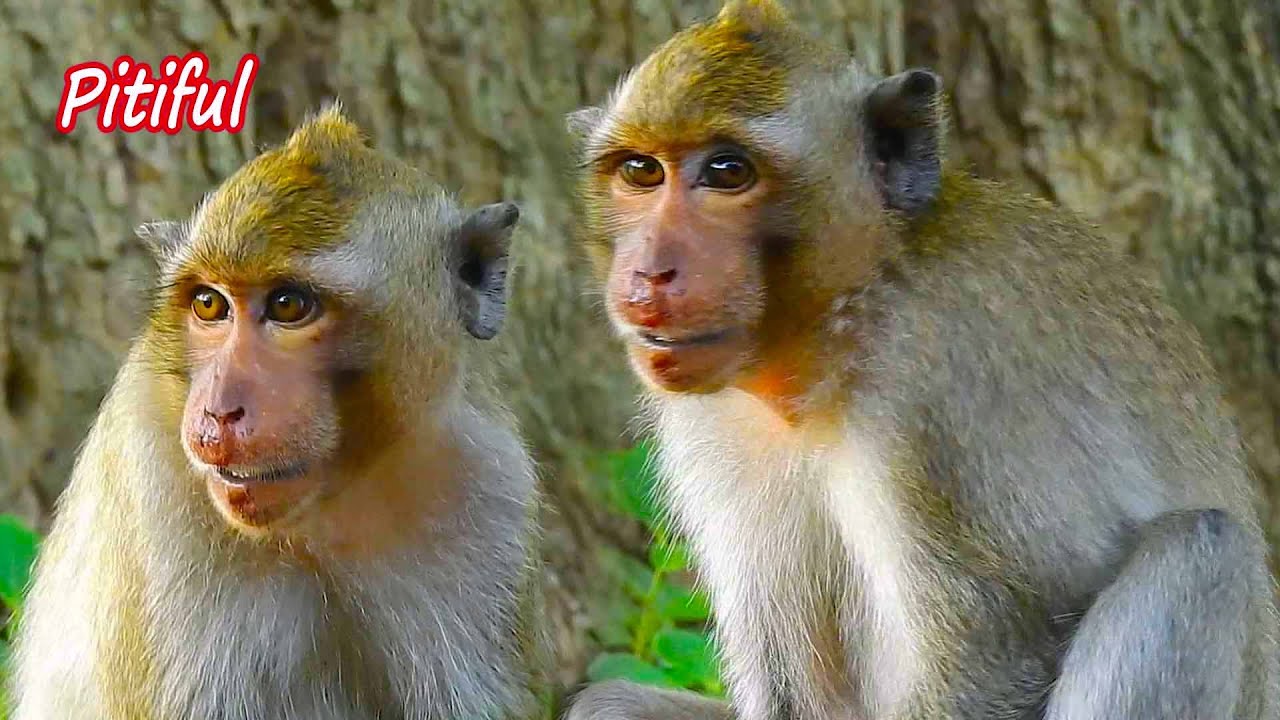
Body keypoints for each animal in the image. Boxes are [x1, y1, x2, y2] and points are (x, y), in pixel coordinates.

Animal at [10, 106, 554, 720]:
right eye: (209, 304)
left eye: (289, 305)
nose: (218, 411)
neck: (325, 512)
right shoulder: (149, 475)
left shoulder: (490, 488)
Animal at [563, 1, 1280, 718]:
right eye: (640, 172)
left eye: (726, 172)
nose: (649, 273)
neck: (836, 324)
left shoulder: (936, 387)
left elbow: (1000, 651)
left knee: (1200, 549)